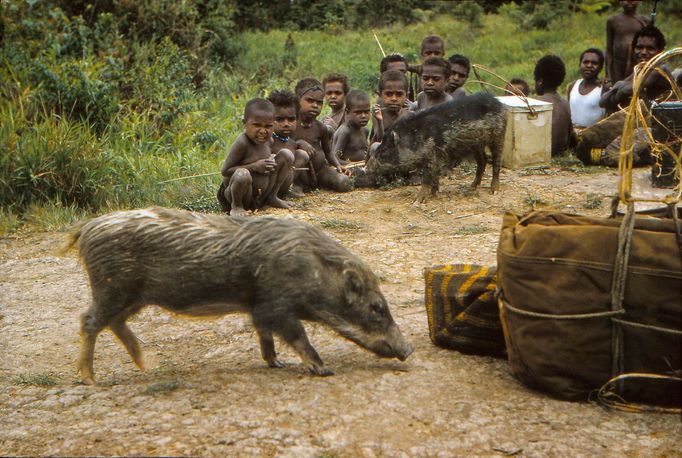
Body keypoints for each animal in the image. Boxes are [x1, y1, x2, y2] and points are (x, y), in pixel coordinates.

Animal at [65, 207, 414, 382]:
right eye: (376, 307)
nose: (409, 349)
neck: (310, 269)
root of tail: (87, 228)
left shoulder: (259, 308)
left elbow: (264, 336)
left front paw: (277, 364)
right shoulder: (276, 306)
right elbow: (298, 336)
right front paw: (324, 370)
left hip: (133, 297)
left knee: (113, 323)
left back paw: (144, 364)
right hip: (112, 287)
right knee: (88, 321)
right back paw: (90, 379)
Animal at [366, 92, 504, 201]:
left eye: (384, 152)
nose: (367, 168)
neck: (415, 138)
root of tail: (497, 101)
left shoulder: (432, 155)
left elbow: (427, 178)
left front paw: (418, 201)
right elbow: (435, 176)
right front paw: (434, 194)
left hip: (497, 135)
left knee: (496, 162)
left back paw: (494, 190)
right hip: (477, 144)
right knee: (482, 161)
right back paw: (471, 187)